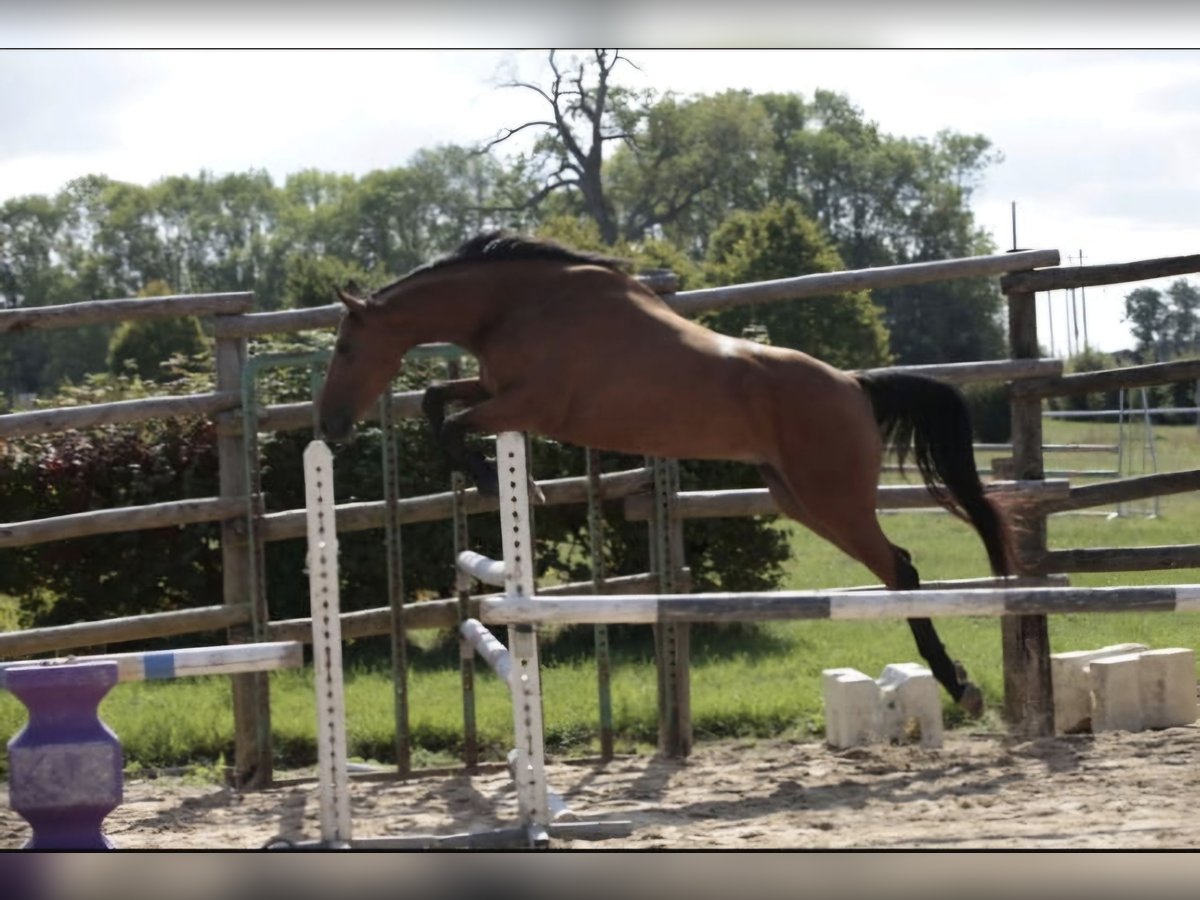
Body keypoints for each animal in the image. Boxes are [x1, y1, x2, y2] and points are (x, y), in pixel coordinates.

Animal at [316, 232, 1012, 720]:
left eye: (347, 348)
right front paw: (492, 476)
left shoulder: (530, 404)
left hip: (833, 499)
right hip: (799, 499)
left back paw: (961, 686)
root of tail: (854, 385)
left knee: (902, 569)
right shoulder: (494, 391)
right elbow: (438, 399)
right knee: (895, 568)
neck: (517, 305)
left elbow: (452, 422)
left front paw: (496, 479)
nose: (328, 424)